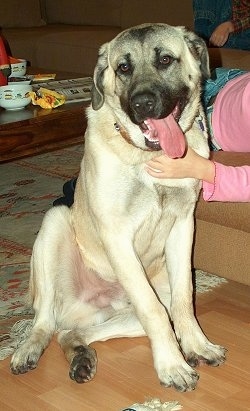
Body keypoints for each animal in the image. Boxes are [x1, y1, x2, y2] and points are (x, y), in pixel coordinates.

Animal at [9, 23, 226, 392]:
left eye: (165, 59)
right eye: (123, 67)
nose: (143, 102)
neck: (150, 156)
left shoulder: (183, 225)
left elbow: (184, 298)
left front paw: (197, 346)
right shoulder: (117, 236)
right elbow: (153, 310)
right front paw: (172, 366)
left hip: (125, 309)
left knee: (72, 331)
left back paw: (80, 356)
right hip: (55, 223)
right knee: (45, 321)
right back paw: (28, 350)